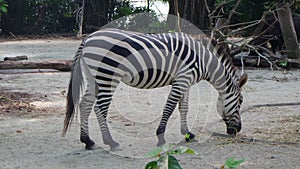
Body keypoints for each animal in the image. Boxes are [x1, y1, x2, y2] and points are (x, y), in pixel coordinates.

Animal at [62, 28, 247, 150]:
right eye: (240, 101)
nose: (237, 130)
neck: (204, 61)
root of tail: (88, 39)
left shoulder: (186, 82)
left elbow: (184, 108)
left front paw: (187, 134)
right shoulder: (182, 79)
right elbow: (169, 107)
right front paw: (161, 137)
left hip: (93, 77)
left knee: (85, 104)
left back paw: (88, 141)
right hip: (108, 75)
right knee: (99, 108)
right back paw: (110, 142)